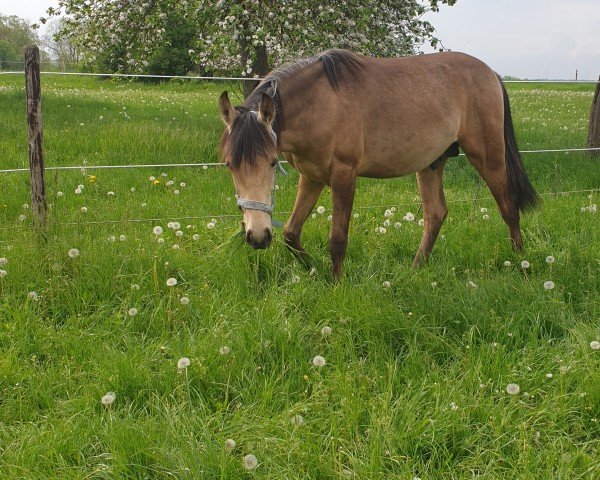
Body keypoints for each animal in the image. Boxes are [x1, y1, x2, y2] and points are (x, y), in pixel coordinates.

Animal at [217, 47, 540, 280]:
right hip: (431, 164)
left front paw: (337, 285)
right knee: (435, 215)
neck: (318, 104)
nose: (258, 237)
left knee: (508, 207)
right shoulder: (312, 176)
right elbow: (291, 233)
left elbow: (337, 239)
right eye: (230, 165)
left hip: (488, 157)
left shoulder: (344, 176)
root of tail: (491, 73)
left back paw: (521, 263)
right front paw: (312, 268)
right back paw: (415, 270)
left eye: (273, 163)